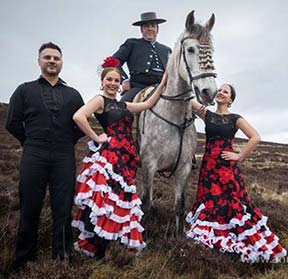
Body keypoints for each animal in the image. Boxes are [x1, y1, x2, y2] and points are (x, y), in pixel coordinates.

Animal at [138, 9, 217, 235]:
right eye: (190, 49)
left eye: (212, 50)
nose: (209, 92)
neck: (174, 116)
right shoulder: (148, 165)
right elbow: (146, 205)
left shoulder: (183, 168)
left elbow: (180, 206)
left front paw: (179, 236)